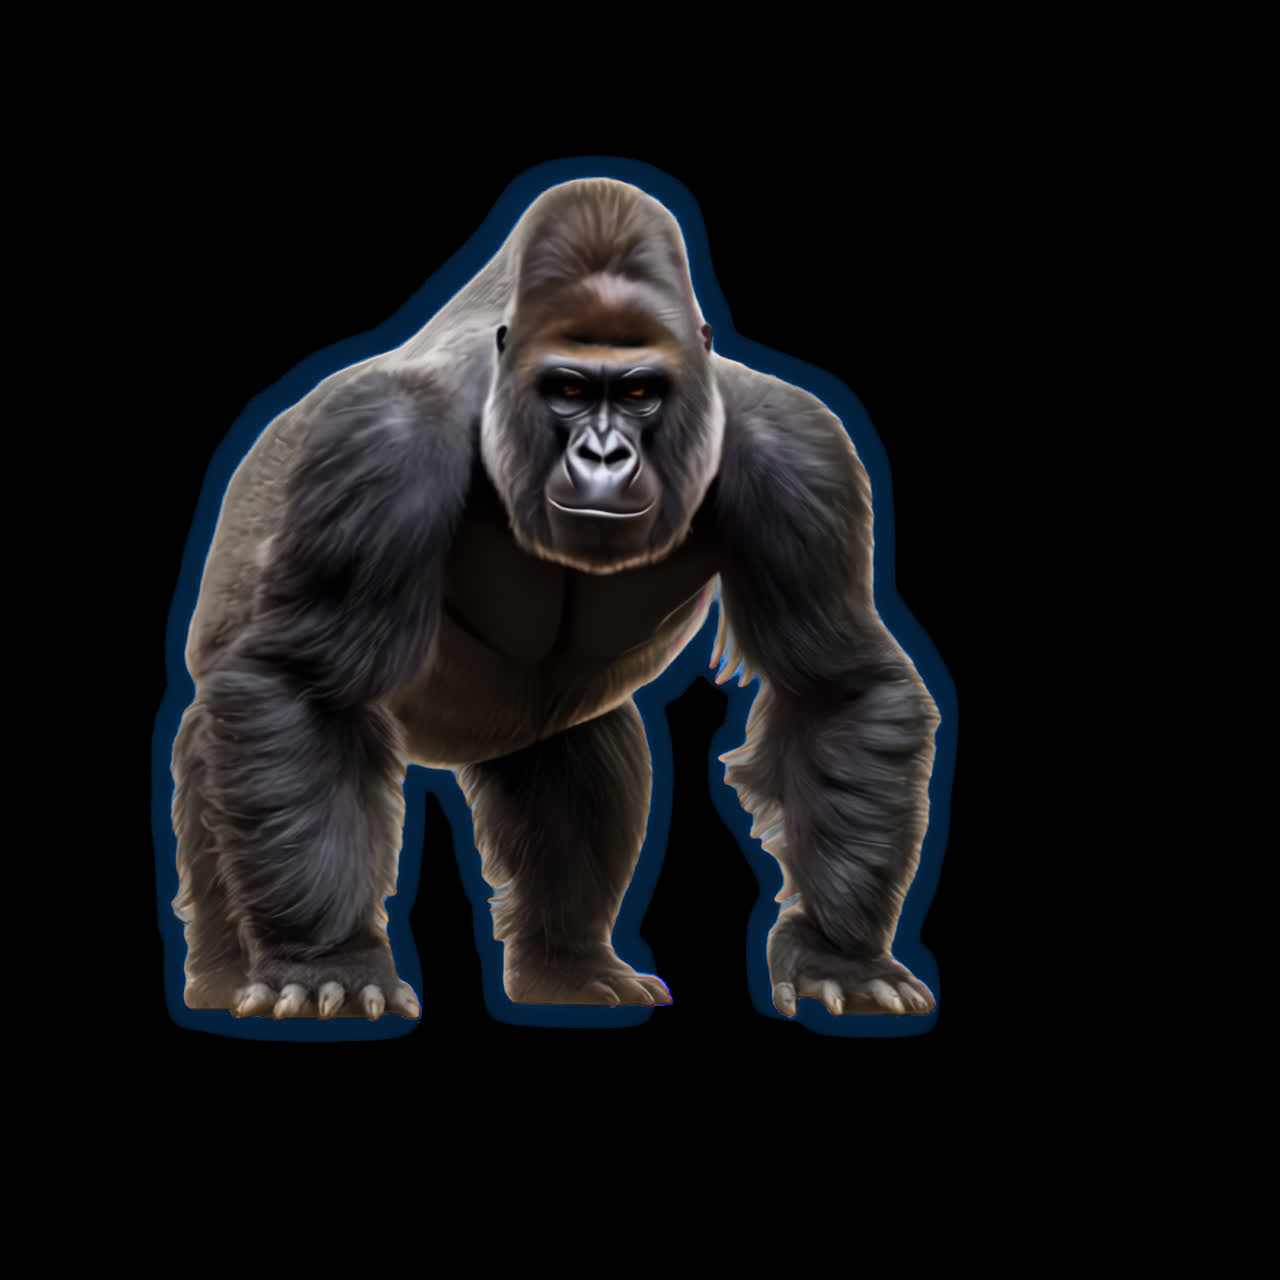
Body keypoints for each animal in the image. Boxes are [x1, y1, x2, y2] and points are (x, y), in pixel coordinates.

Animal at [170, 177, 940, 1021]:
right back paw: (223, 974)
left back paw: (566, 968)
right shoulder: (378, 448)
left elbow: (834, 691)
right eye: (568, 391)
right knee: (223, 747)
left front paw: (840, 955)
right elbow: (305, 690)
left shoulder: (803, 452)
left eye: (639, 393)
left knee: (582, 759)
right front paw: (325, 963)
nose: (604, 455)